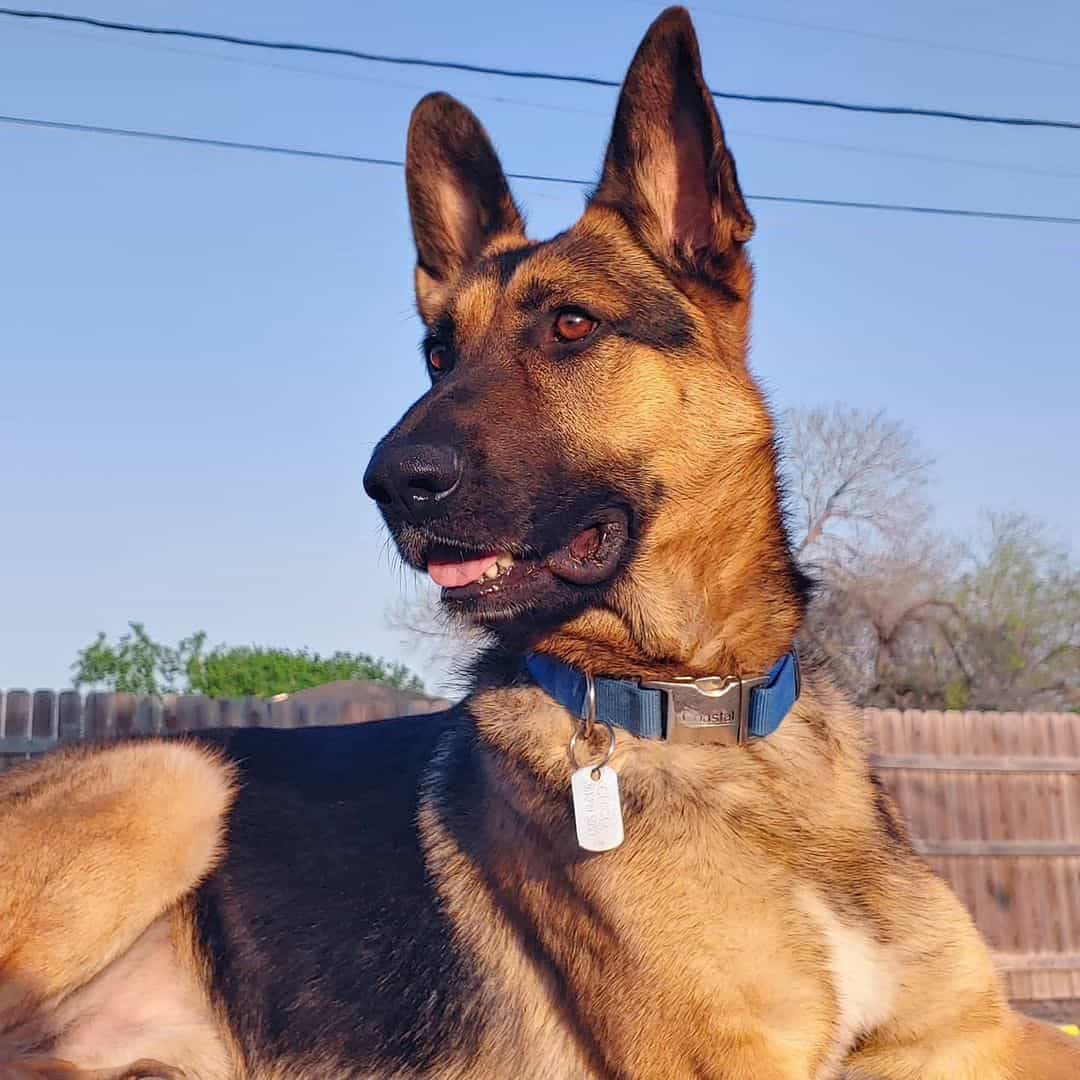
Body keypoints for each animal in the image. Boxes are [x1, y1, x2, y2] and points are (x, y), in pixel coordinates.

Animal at [2, 8, 1080, 1080]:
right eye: (439, 353)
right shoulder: (737, 1064)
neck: (709, 711)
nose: (392, 484)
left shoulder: (973, 1029)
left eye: (570, 326)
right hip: (175, 779)